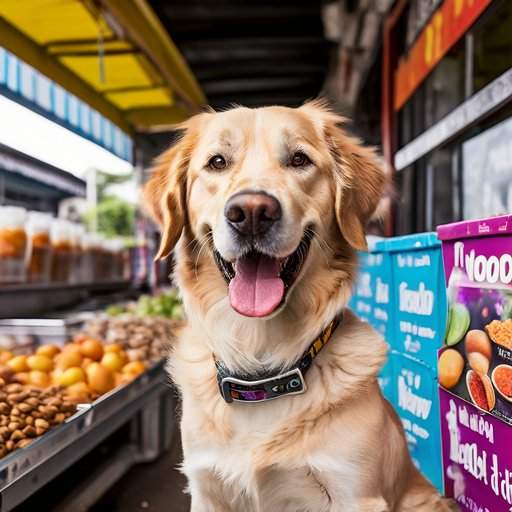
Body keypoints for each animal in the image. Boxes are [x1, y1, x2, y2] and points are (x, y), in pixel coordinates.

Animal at [143, 100, 456, 512]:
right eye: (217, 162)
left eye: (299, 159)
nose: (252, 212)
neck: (262, 369)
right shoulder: (207, 488)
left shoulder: (356, 494)